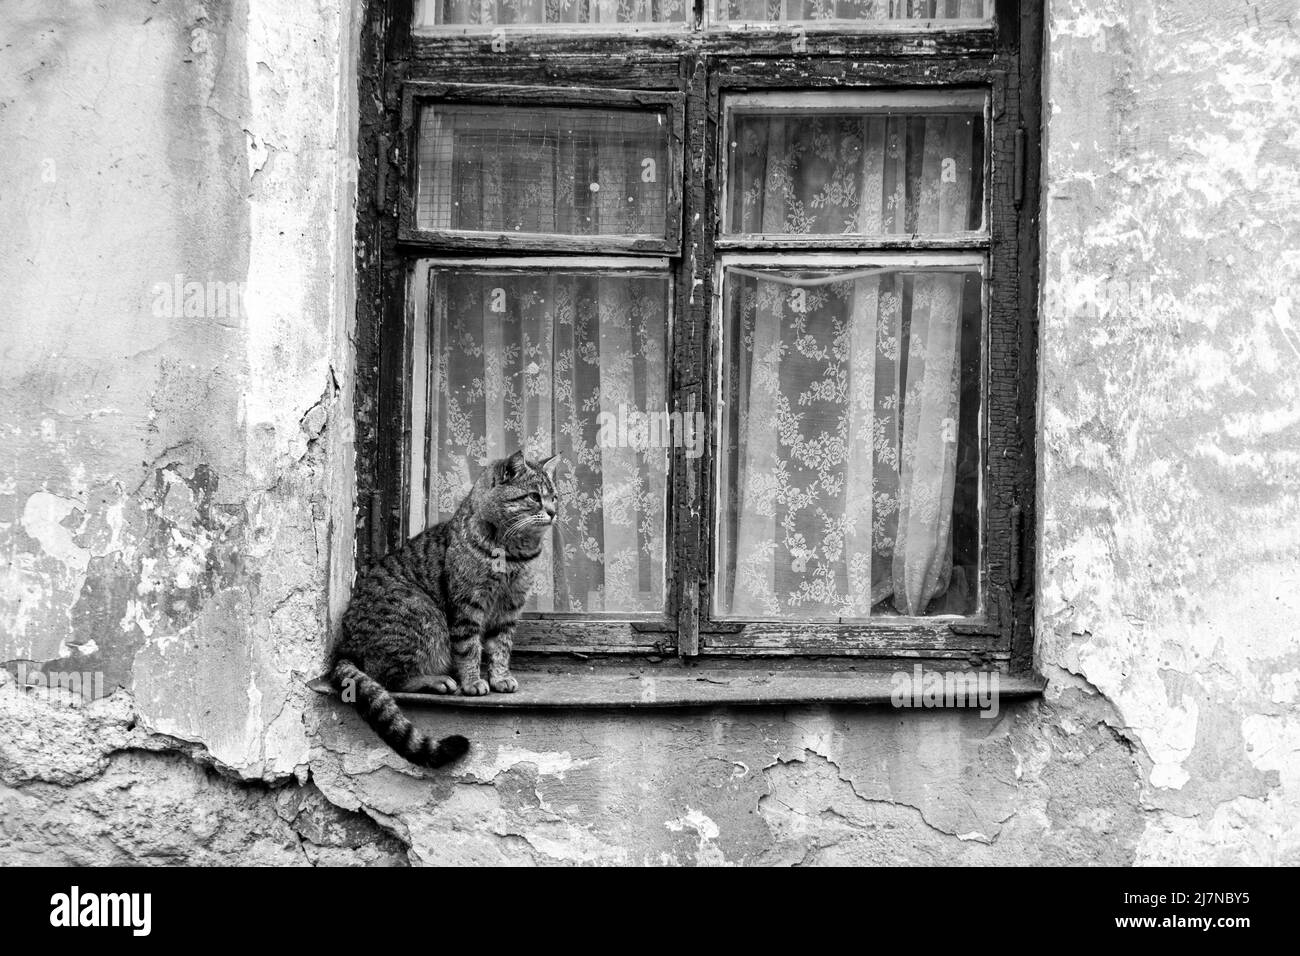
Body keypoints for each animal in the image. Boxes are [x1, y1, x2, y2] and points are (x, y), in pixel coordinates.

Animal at [330, 450, 559, 770]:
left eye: (554, 497)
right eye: (535, 497)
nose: (553, 512)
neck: (514, 554)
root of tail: (344, 647)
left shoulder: (508, 610)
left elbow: (501, 648)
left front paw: (500, 677)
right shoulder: (467, 606)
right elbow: (469, 649)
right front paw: (473, 682)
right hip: (423, 614)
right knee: (388, 676)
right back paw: (437, 681)